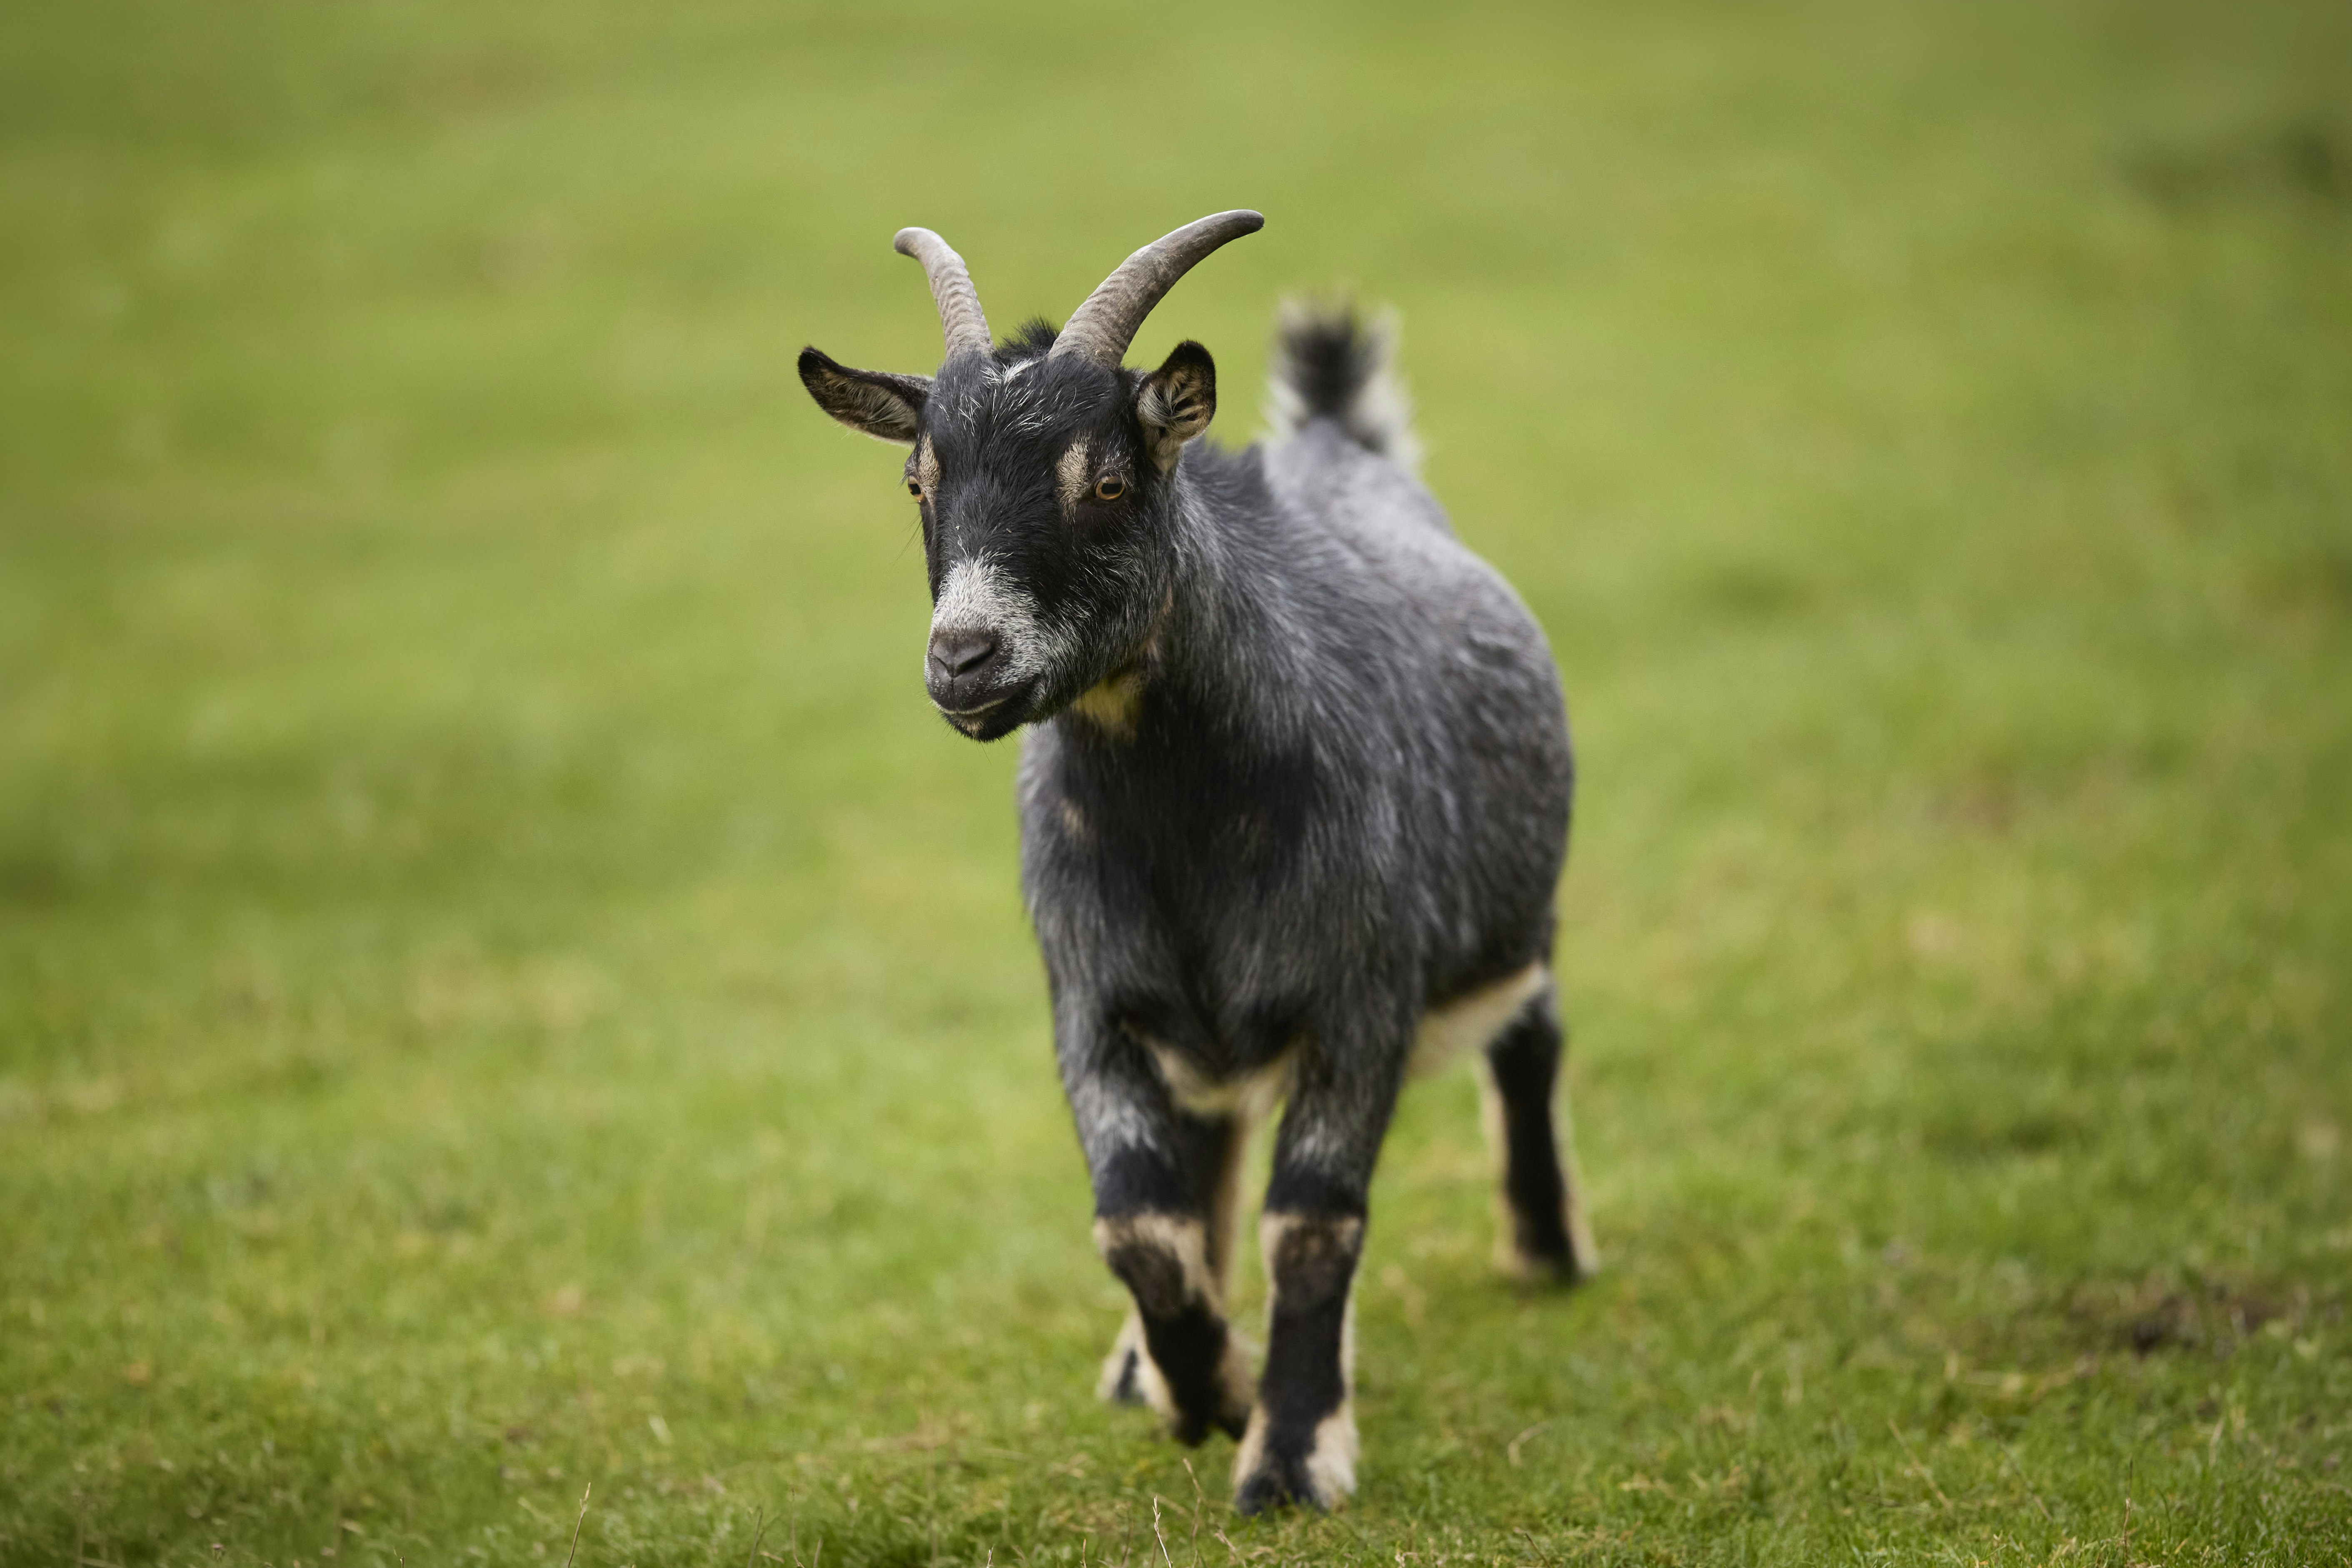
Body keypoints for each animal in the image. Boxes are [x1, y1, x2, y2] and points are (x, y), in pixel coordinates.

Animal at [799, 212, 1592, 1512]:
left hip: (1508, 915)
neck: (1183, 834)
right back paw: (1147, 1365)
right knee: (1207, 1145)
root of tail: (1339, 441)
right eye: (918, 481)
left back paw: (1544, 1249)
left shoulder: (1356, 998)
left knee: (1529, 1031)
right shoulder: (1091, 999)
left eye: (1109, 481)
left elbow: (1312, 1226)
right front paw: (1204, 1384)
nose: (963, 658)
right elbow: (1139, 1225)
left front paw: (1290, 1450)